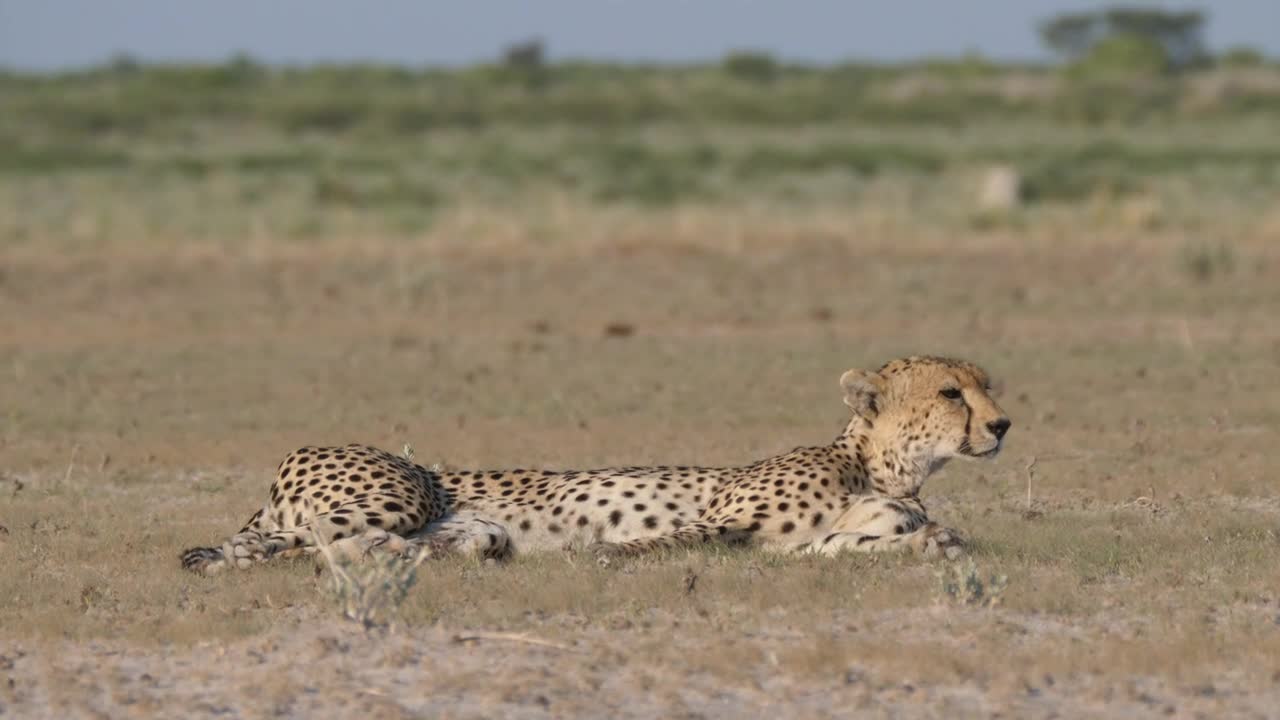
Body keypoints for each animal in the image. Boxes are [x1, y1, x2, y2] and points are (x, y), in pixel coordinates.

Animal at [180, 355, 1010, 575]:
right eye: (950, 391)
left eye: (987, 384)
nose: (1003, 425)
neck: (882, 467)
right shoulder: (722, 519)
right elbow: (667, 537)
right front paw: (607, 550)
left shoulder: (805, 546)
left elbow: (885, 542)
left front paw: (936, 541)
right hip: (401, 487)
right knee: (275, 543)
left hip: (452, 527)